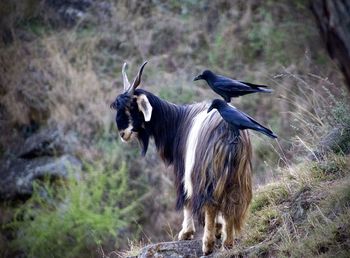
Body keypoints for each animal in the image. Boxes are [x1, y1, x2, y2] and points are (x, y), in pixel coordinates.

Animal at [110, 62, 253, 254]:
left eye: (131, 107)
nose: (122, 133)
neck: (177, 121)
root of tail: (229, 134)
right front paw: (218, 229)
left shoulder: (183, 168)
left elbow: (186, 198)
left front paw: (186, 233)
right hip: (237, 175)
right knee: (231, 204)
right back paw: (228, 243)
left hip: (207, 172)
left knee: (210, 204)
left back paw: (207, 245)